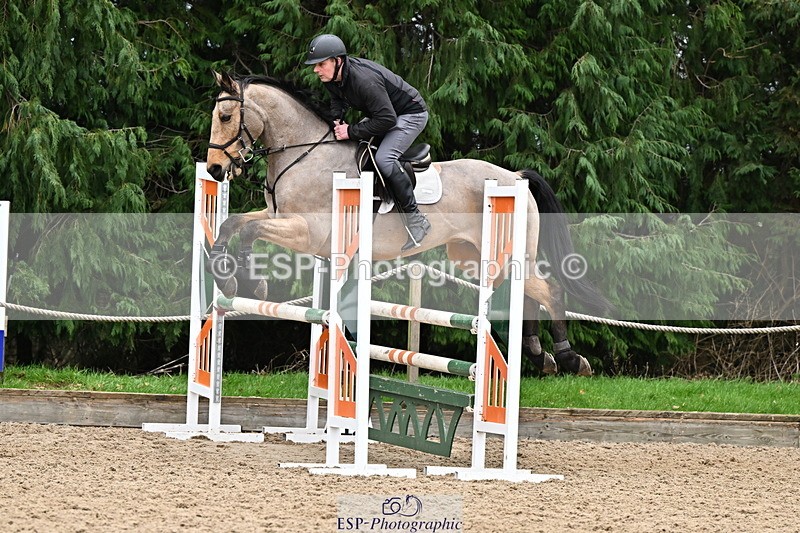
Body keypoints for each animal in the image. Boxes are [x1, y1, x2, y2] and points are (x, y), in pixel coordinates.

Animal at [205, 71, 611, 375]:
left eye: (225, 117)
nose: (215, 170)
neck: (305, 154)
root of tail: (515, 176)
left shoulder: (308, 233)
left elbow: (250, 231)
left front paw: (252, 282)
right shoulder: (280, 217)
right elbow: (233, 224)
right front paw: (226, 276)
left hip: (506, 252)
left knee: (550, 291)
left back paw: (569, 357)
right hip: (472, 256)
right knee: (526, 292)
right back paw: (540, 355)